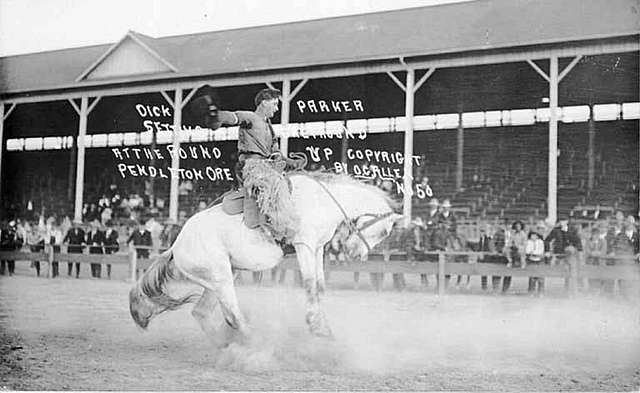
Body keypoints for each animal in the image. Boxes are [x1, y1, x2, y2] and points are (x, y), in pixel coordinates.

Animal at [129, 172, 400, 340]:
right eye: (384, 231)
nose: (356, 254)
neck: (320, 200)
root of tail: (176, 246)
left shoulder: (318, 248)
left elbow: (320, 287)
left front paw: (323, 327)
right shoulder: (304, 245)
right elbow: (310, 284)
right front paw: (315, 325)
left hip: (221, 277)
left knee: (201, 312)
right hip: (222, 279)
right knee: (233, 315)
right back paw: (255, 347)